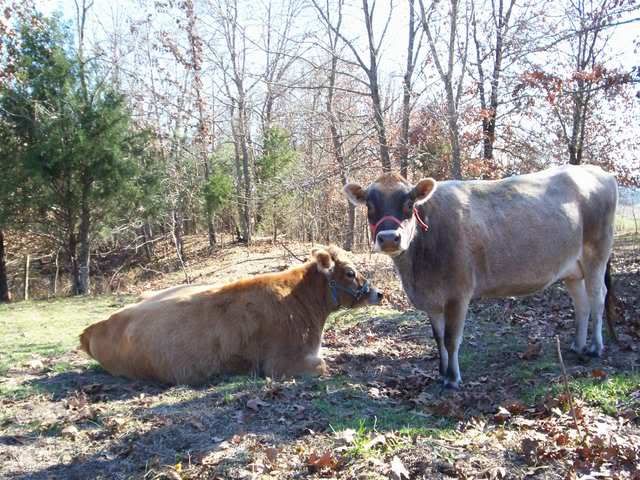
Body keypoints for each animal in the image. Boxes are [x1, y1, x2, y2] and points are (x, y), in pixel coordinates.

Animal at [79, 245, 382, 385]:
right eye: (350, 272)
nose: (379, 293)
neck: (300, 301)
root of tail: (94, 328)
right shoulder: (281, 364)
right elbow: (324, 365)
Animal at [344, 165, 618, 389]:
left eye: (409, 204)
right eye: (370, 206)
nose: (389, 238)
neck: (416, 272)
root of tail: (599, 172)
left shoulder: (458, 294)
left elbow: (451, 339)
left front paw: (452, 379)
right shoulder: (432, 300)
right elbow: (438, 338)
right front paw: (441, 372)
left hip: (596, 255)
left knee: (597, 298)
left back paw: (595, 347)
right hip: (572, 270)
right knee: (581, 304)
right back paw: (578, 345)